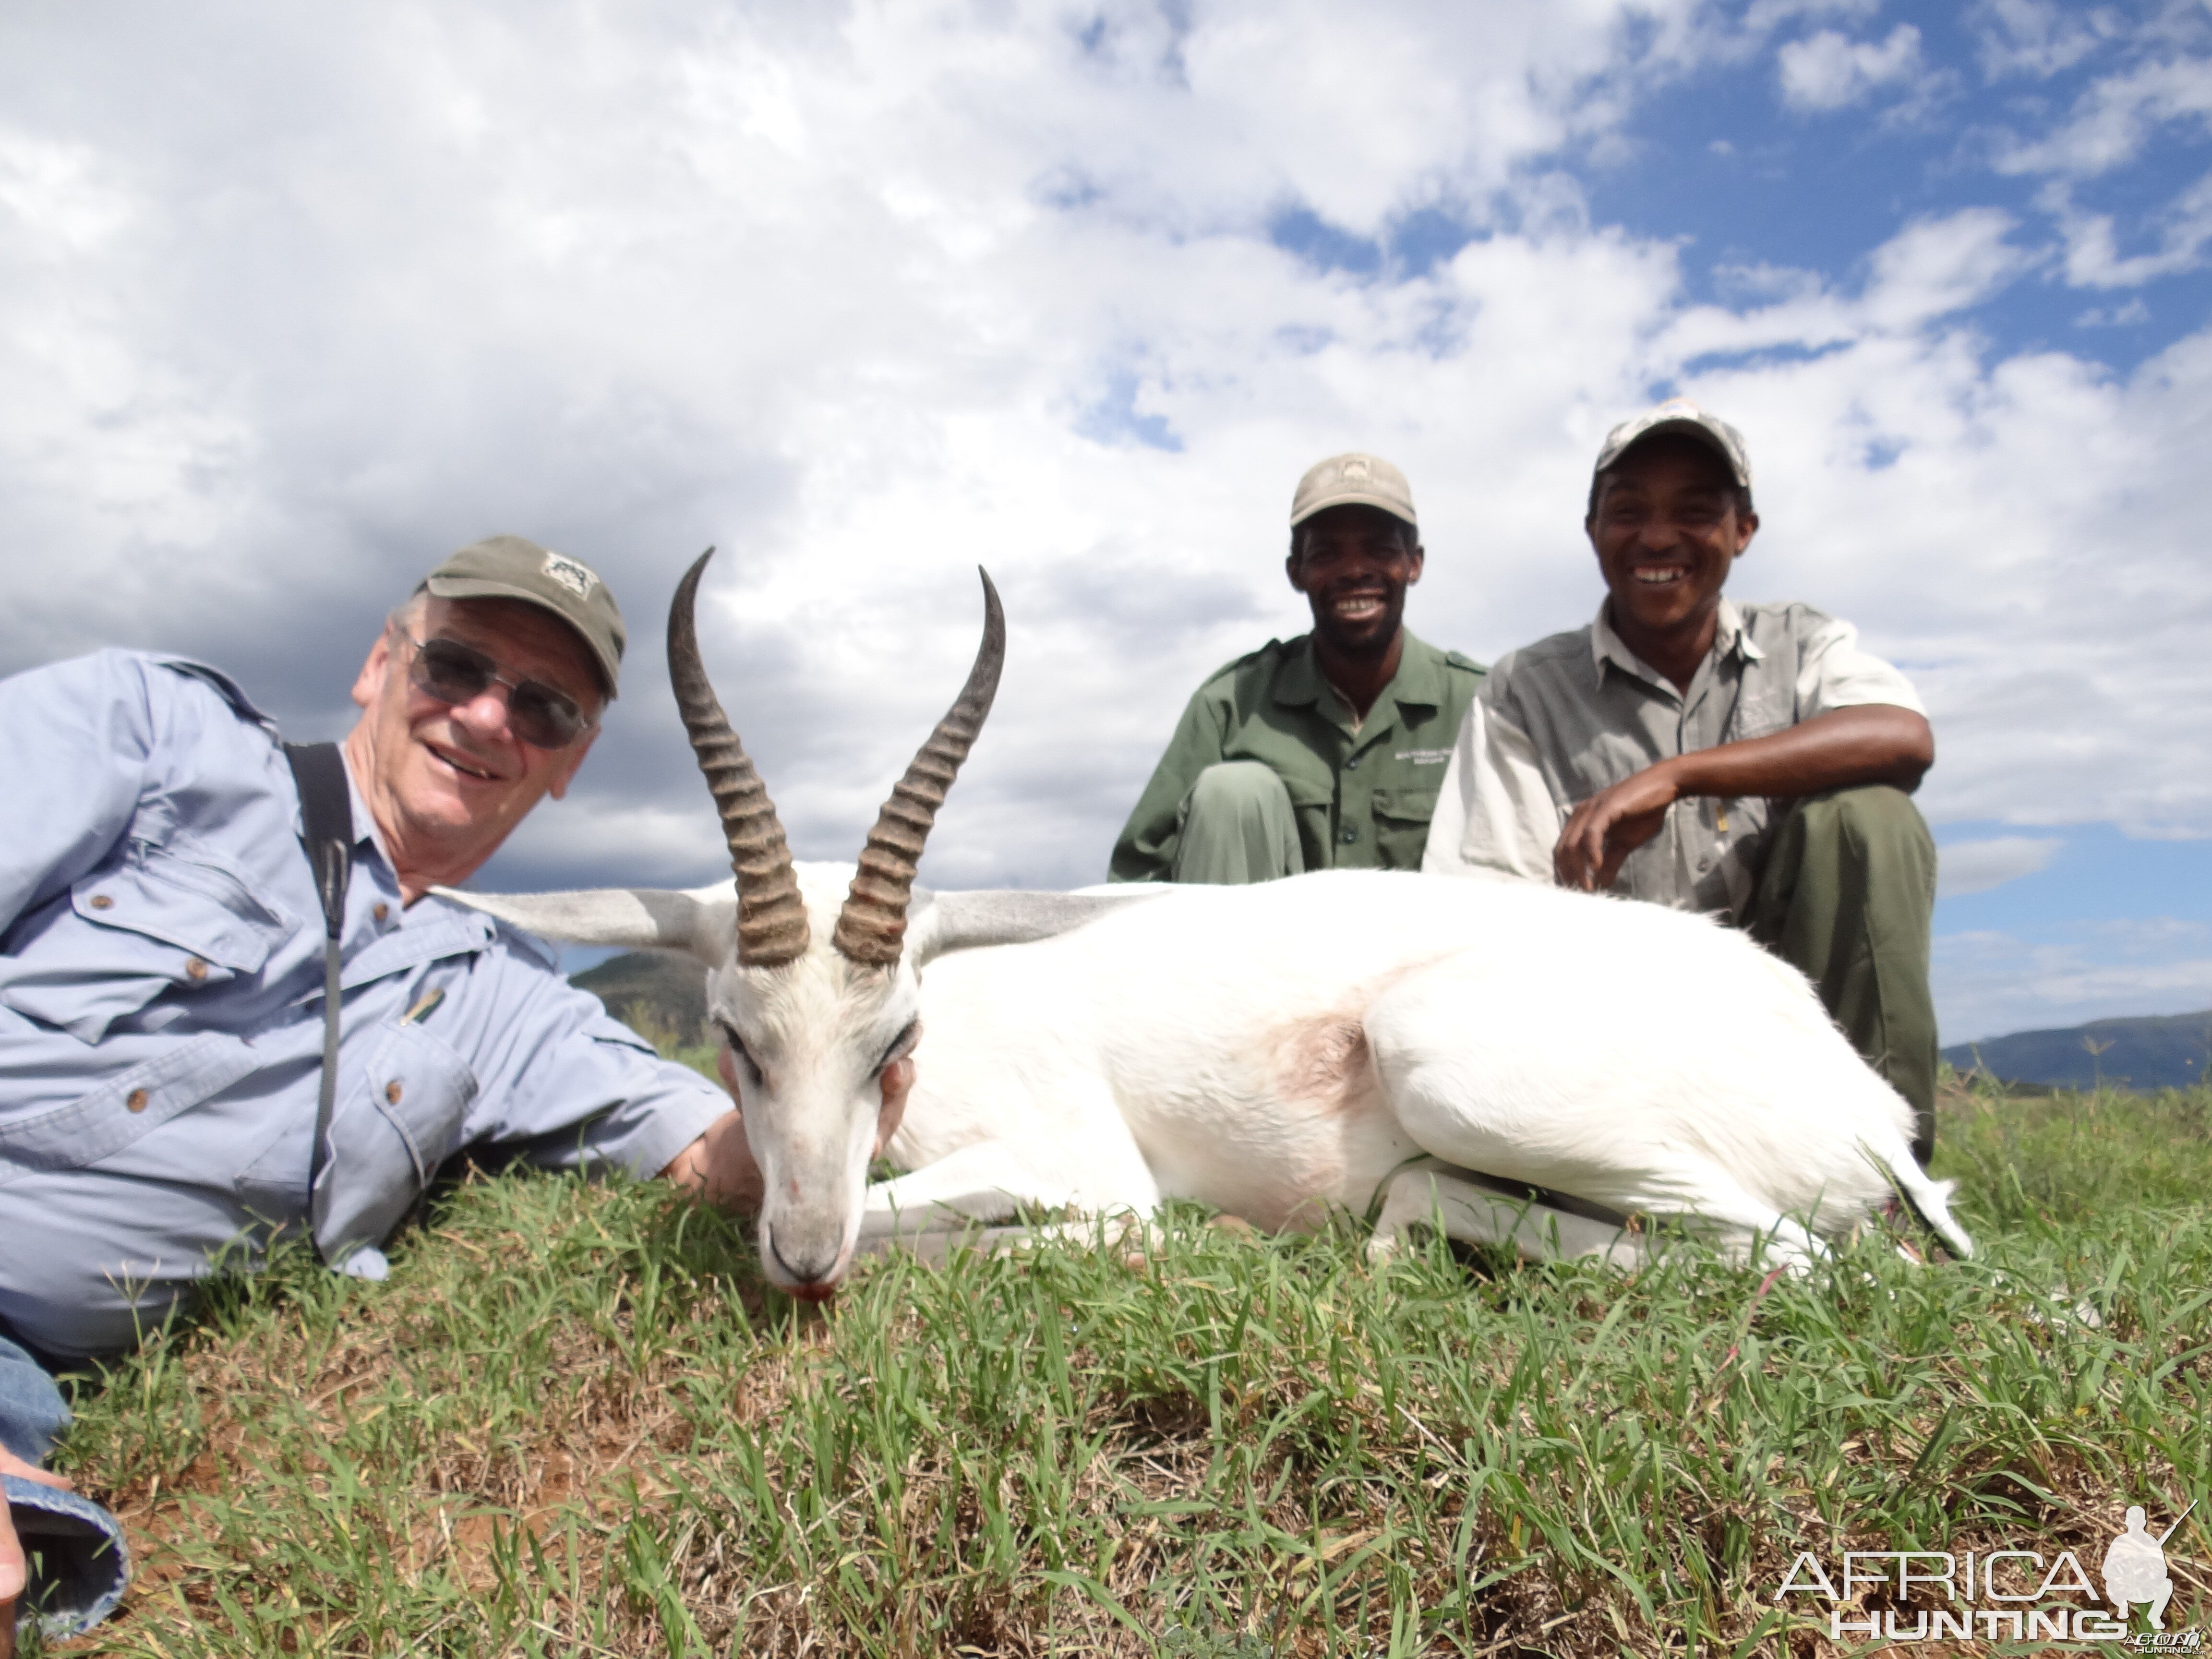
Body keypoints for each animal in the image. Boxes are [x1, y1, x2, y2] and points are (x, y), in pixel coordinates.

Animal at [449, 553, 1973, 1309]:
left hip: (1450, 1063)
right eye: (734, 1038)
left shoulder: (1071, 1161)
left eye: (896, 1034)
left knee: (1799, 1255)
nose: (802, 1255)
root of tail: (1864, 1102)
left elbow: (1003, 1226)